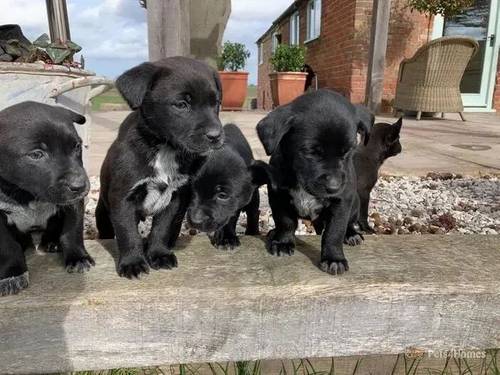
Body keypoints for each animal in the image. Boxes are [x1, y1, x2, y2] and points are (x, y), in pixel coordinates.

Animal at [0, 102, 93, 296]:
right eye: (36, 154)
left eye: (77, 146)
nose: (80, 186)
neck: (28, 194)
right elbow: (7, 246)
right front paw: (12, 273)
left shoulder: (73, 204)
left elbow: (72, 232)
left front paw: (78, 258)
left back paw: (52, 242)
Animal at [96, 56, 222, 280]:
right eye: (181, 104)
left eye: (215, 103)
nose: (216, 136)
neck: (165, 148)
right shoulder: (123, 199)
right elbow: (127, 233)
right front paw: (133, 263)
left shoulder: (175, 198)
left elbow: (161, 229)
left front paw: (159, 254)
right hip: (102, 212)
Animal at [187, 123, 272, 251]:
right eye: (191, 187)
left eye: (223, 196)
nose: (194, 221)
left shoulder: (232, 207)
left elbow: (230, 218)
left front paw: (226, 238)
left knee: (253, 213)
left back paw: (252, 232)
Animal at [258, 88, 372, 276]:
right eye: (310, 152)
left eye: (347, 151)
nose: (334, 187)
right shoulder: (278, 195)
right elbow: (285, 221)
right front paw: (283, 242)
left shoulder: (341, 202)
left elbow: (334, 231)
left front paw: (334, 258)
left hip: (354, 203)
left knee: (348, 223)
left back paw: (351, 234)